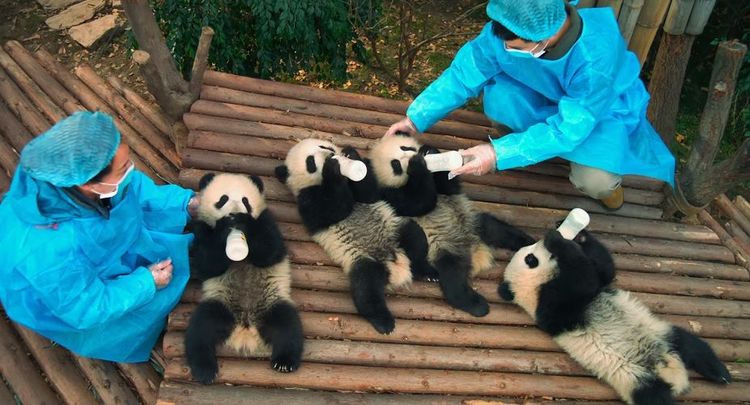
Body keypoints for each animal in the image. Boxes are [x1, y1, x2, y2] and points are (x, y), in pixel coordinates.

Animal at [185, 173, 303, 384]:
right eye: (223, 199)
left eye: (245, 201)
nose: (234, 214)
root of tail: (245, 327)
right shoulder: (202, 230)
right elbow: (205, 264)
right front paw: (224, 227)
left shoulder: (266, 221)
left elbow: (269, 252)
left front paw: (243, 222)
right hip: (220, 303)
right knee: (201, 330)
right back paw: (204, 370)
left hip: (272, 302)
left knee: (288, 326)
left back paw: (284, 362)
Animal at [275, 138, 434, 334]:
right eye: (310, 162)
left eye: (324, 146)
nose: (330, 155)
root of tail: (395, 265)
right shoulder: (307, 200)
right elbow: (334, 209)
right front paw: (333, 169)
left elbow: (368, 193)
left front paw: (351, 154)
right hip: (360, 259)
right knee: (366, 287)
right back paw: (383, 321)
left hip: (395, 229)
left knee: (415, 238)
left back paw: (426, 272)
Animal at [368, 134, 534, 317]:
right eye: (396, 164)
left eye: (405, 147)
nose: (412, 155)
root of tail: (474, 248)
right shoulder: (389, 195)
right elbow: (419, 203)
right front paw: (417, 165)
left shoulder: (445, 191)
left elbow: (448, 187)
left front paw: (429, 151)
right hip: (443, 248)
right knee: (453, 277)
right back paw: (476, 304)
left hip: (474, 223)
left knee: (498, 230)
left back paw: (529, 242)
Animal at [499, 228, 731, 404]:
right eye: (530, 259)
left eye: (530, 251)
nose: (541, 240)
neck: (536, 287)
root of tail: (670, 374)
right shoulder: (552, 307)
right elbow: (582, 280)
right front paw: (560, 241)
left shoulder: (594, 290)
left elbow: (603, 271)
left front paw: (575, 234)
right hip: (635, 381)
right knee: (656, 397)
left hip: (662, 333)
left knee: (694, 347)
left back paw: (721, 374)